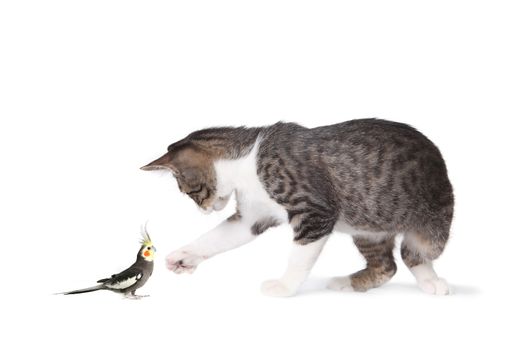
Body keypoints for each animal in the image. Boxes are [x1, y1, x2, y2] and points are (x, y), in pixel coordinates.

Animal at [141, 119, 452, 296]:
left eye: (190, 192)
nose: (204, 211)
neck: (246, 160)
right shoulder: (252, 216)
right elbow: (217, 238)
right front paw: (185, 256)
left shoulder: (316, 212)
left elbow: (299, 257)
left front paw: (284, 286)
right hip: (368, 232)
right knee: (386, 266)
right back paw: (349, 283)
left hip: (432, 221)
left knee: (414, 252)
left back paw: (432, 281)